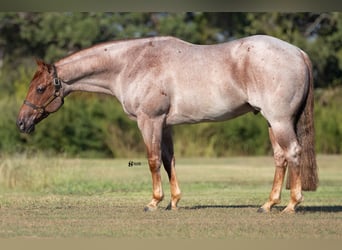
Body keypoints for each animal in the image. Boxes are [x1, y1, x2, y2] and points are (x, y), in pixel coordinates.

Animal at [16, 34, 318, 213]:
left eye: (40, 88)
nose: (22, 122)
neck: (132, 64)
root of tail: (298, 52)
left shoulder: (149, 121)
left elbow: (152, 160)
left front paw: (154, 201)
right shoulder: (165, 124)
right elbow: (168, 159)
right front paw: (174, 201)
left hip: (279, 120)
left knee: (293, 153)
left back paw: (292, 205)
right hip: (270, 121)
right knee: (280, 158)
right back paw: (268, 204)